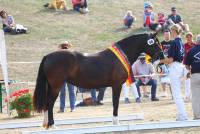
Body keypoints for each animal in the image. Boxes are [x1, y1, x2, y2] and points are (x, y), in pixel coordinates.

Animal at [32, 32, 164, 127]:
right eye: (155, 43)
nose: (162, 57)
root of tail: (48, 56)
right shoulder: (116, 85)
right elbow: (115, 103)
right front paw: (116, 122)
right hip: (56, 87)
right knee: (50, 103)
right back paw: (52, 125)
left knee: (47, 104)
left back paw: (46, 124)